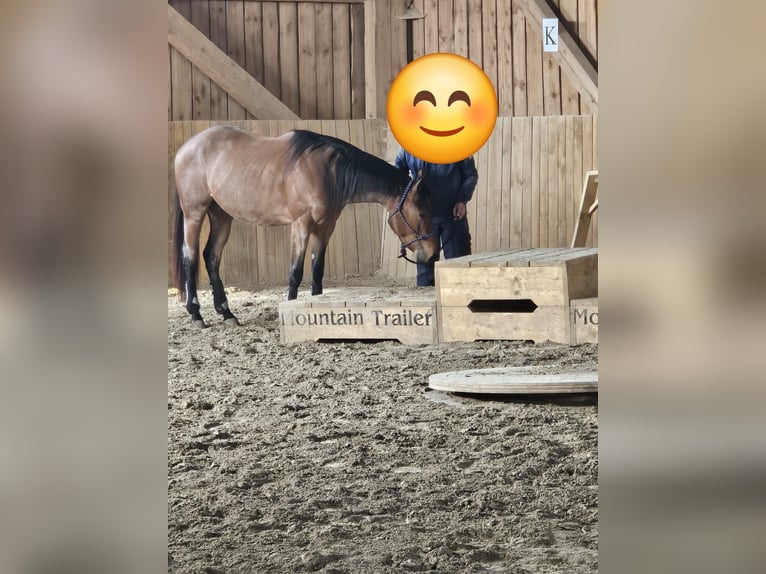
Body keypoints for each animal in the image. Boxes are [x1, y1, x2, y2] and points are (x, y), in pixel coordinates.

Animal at [171, 126, 438, 327]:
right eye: (422, 212)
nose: (434, 254)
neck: (328, 172)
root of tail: (186, 148)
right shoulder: (301, 224)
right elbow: (296, 272)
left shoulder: (325, 227)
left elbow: (317, 270)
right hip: (195, 213)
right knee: (190, 256)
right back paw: (196, 313)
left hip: (222, 216)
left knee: (211, 256)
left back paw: (226, 313)